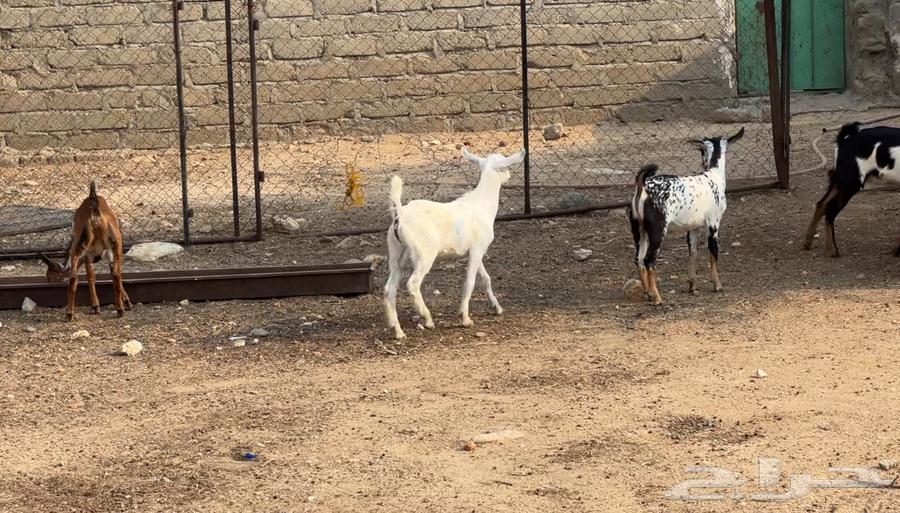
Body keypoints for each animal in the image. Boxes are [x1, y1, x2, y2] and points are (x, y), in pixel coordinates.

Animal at [40, 181, 131, 321]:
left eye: (50, 275)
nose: (47, 283)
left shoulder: (88, 255)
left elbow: (90, 277)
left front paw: (95, 306)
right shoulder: (104, 253)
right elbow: (111, 273)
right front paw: (125, 302)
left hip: (80, 247)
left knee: (74, 277)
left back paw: (70, 313)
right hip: (116, 245)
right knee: (115, 274)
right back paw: (119, 310)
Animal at [383, 147, 526, 339]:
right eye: (506, 166)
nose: (508, 176)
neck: (482, 204)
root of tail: (400, 215)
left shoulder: (476, 250)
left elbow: (485, 278)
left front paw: (496, 307)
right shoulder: (477, 250)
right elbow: (470, 281)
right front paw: (464, 318)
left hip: (396, 254)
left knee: (389, 289)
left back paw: (398, 331)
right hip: (423, 254)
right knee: (412, 284)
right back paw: (427, 319)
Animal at [627, 128, 744, 305]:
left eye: (701, 151)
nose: (703, 163)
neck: (713, 176)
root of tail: (643, 189)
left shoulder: (693, 228)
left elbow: (693, 253)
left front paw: (692, 286)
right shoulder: (713, 223)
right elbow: (713, 252)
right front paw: (717, 285)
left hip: (639, 229)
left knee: (638, 259)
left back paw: (648, 293)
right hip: (657, 229)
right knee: (649, 260)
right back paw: (657, 298)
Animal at [803, 122, 900, 257]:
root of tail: (847, 137)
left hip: (840, 180)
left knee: (821, 204)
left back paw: (808, 241)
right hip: (850, 182)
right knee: (830, 211)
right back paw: (832, 250)